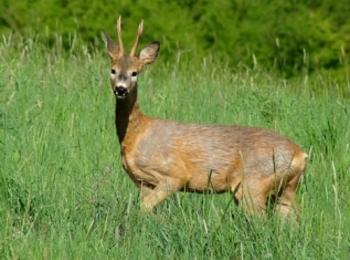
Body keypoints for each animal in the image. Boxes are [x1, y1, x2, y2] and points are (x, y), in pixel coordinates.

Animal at [105, 17, 308, 218]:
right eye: (113, 70)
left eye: (135, 73)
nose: (121, 89)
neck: (136, 134)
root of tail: (301, 155)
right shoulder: (143, 182)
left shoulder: (174, 174)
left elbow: (145, 208)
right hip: (287, 189)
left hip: (253, 184)